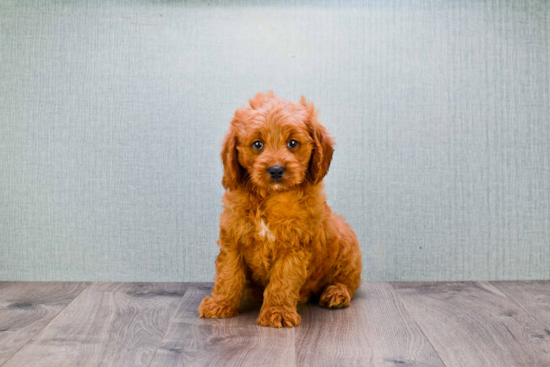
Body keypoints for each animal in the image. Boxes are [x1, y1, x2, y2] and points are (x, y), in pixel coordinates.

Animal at [198, 91, 362, 328]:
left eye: (292, 143)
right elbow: (228, 275)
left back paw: (336, 293)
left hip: (347, 246)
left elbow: (283, 281)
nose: (276, 170)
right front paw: (220, 304)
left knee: (348, 281)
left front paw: (278, 312)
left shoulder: (293, 245)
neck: (270, 196)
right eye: (257, 145)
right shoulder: (233, 239)